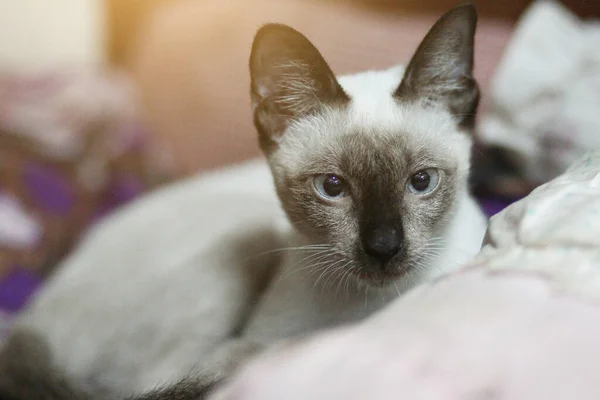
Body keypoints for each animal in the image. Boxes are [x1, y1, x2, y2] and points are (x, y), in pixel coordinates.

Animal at [0, 5, 488, 400]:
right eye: (332, 187)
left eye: (421, 181)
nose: (384, 247)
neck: (370, 309)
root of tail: (28, 322)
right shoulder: (248, 345)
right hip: (246, 244)